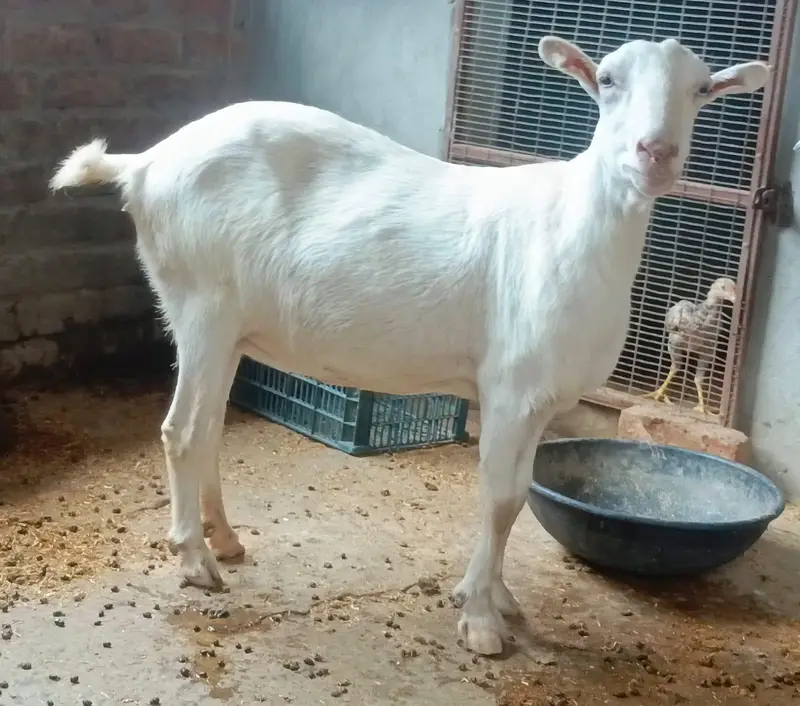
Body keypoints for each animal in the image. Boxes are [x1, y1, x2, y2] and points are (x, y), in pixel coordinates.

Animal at [49, 36, 769, 655]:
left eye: (703, 89)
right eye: (609, 80)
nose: (655, 152)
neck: (572, 225)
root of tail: (146, 163)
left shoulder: (539, 399)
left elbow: (517, 497)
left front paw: (501, 598)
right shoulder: (510, 387)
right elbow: (499, 499)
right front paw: (480, 620)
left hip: (226, 328)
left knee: (210, 430)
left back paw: (223, 539)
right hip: (201, 303)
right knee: (181, 431)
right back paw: (196, 561)